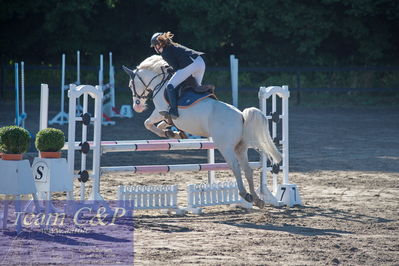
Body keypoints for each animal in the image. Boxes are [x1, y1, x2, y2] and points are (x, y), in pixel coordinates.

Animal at [123, 54, 282, 208]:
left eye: (130, 85)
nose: (137, 107)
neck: (160, 83)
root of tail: (241, 116)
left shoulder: (159, 111)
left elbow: (148, 123)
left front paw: (167, 132)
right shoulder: (165, 116)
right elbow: (163, 124)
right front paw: (173, 133)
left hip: (225, 147)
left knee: (235, 167)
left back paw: (245, 194)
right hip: (240, 147)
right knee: (248, 170)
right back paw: (257, 199)